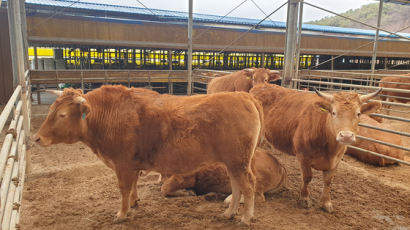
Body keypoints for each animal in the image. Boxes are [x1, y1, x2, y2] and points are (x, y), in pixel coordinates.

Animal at [32, 85, 262, 224]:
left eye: (62, 115)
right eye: (51, 110)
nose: (37, 138)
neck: (108, 116)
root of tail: (242, 95)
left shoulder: (122, 165)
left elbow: (124, 189)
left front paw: (121, 214)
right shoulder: (132, 165)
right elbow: (133, 186)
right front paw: (134, 203)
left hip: (239, 162)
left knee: (249, 186)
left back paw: (246, 217)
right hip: (233, 163)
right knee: (236, 186)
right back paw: (229, 212)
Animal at [250, 83, 382, 213]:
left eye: (358, 113)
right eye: (333, 112)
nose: (346, 136)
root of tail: (260, 85)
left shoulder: (336, 160)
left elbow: (328, 181)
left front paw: (326, 203)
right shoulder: (303, 156)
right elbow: (307, 177)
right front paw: (304, 199)